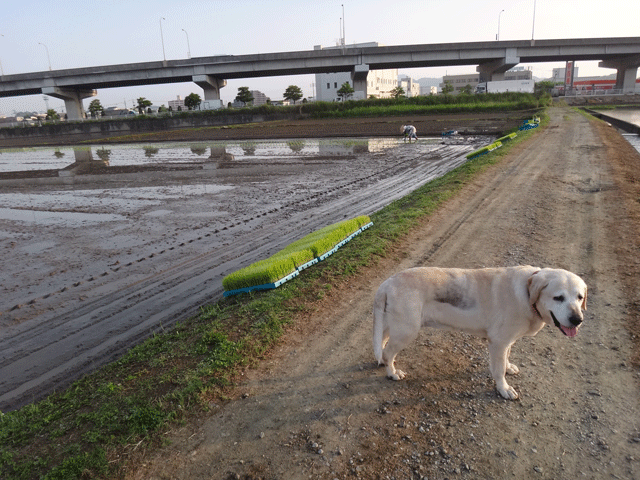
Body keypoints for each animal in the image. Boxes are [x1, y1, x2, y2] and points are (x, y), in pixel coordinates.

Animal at [372, 268, 588, 400]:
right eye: (558, 297)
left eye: (580, 297)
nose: (577, 319)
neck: (528, 295)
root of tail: (387, 282)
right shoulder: (498, 342)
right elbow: (498, 371)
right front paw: (504, 389)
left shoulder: (505, 341)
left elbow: (505, 359)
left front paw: (508, 367)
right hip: (406, 331)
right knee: (388, 352)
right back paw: (392, 372)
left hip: (392, 326)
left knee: (382, 344)